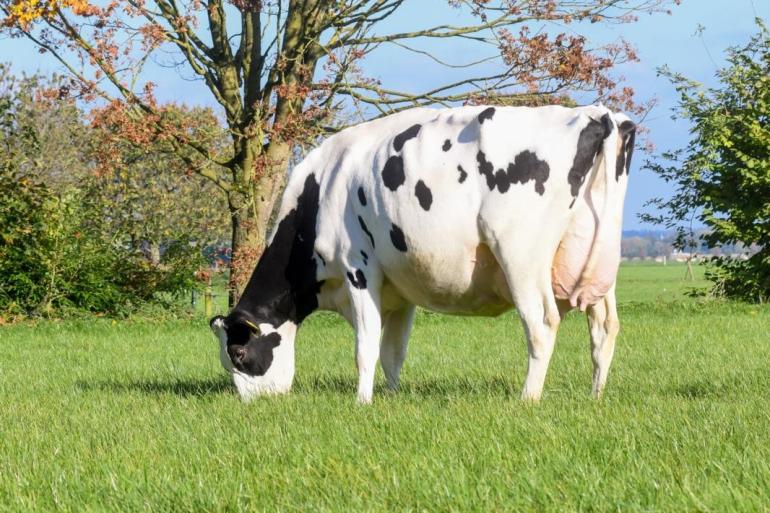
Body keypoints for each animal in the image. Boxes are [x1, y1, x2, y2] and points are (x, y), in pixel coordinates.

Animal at [207, 102, 632, 402]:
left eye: (239, 355)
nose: (252, 404)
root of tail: (595, 112)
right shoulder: (400, 288)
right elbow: (393, 350)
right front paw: (392, 396)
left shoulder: (359, 269)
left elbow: (365, 346)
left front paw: (362, 402)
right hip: (602, 261)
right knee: (604, 328)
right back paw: (595, 396)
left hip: (519, 254)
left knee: (541, 324)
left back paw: (527, 398)